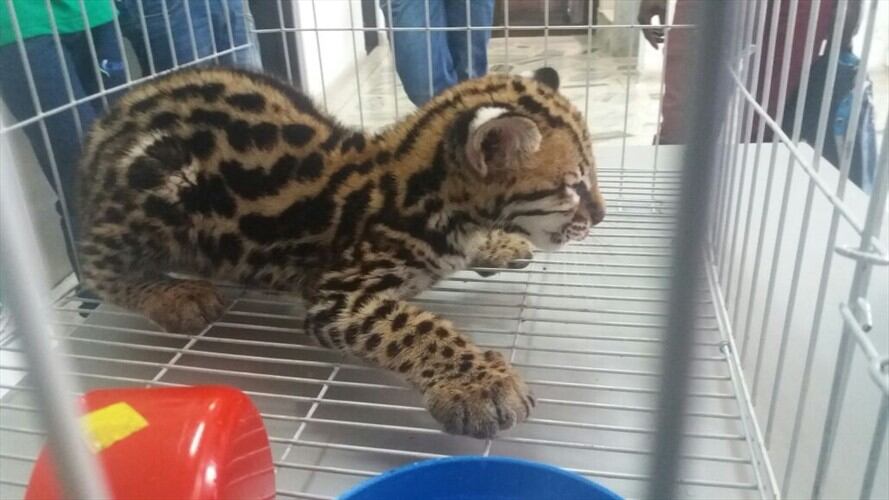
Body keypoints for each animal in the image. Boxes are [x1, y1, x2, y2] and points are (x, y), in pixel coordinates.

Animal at [77, 65, 605, 438]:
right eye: (573, 186)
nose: (601, 216)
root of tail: (97, 138)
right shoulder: (339, 293)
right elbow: (418, 327)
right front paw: (482, 384)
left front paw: (497, 244)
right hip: (157, 176)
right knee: (94, 267)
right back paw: (170, 295)